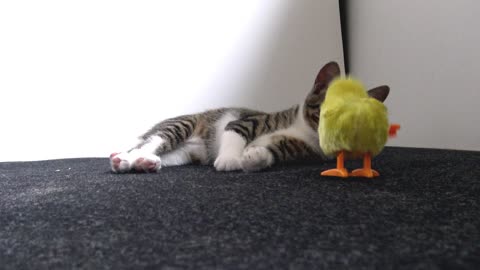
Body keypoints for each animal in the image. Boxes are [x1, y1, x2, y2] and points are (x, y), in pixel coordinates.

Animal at [109, 61, 390, 173]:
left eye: (352, 125)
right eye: (325, 112)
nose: (332, 137)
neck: (301, 128)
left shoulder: (300, 149)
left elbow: (273, 151)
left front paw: (255, 157)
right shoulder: (246, 120)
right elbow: (235, 132)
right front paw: (230, 159)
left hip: (188, 153)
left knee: (169, 156)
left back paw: (144, 163)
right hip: (182, 125)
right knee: (153, 141)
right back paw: (127, 158)